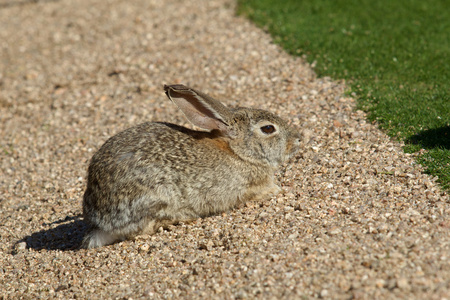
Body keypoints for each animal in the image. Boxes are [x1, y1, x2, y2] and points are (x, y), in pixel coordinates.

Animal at [81, 84, 298, 248]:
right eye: (268, 128)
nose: (297, 140)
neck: (238, 151)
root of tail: (100, 222)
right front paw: (277, 190)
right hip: (153, 197)